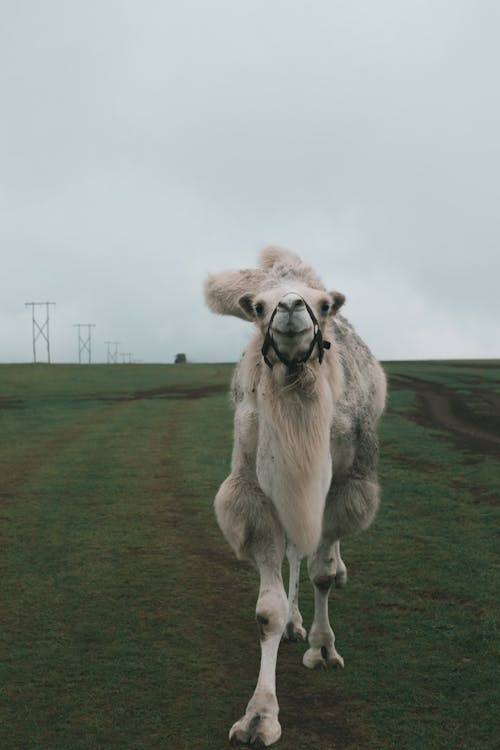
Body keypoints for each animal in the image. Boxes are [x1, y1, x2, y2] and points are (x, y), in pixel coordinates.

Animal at [203, 247, 386, 748]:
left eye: (322, 305)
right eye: (258, 307)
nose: (289, 308)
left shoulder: (342, 484)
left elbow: (321, 570)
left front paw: (323, 649)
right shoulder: (259, 494)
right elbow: (267, 609)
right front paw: (259, 717)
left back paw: (336, 577)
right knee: (293, 553)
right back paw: (293, 623)